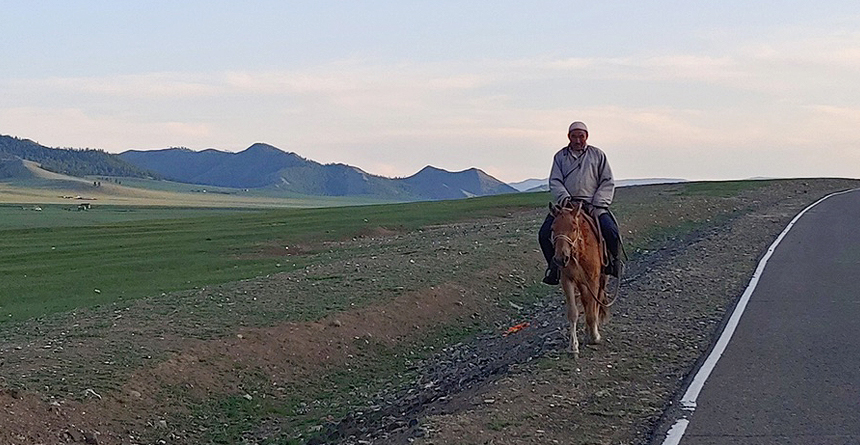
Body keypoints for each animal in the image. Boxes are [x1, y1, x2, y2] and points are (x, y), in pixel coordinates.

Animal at [552, 199, 604, 356]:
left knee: (595, 303)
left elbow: (593, 308)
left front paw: (595, 336)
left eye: (574, 228)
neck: (579, 253)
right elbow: (573, 312)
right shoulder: (567, 280)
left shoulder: (593, 280)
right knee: (586, 302)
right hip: (581, 283)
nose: (561, 258)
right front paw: (573, 346)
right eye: (552, 228)